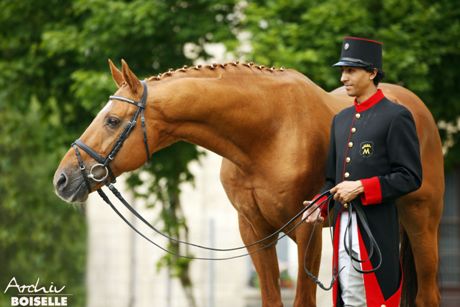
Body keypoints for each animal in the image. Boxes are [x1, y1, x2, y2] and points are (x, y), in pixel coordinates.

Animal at [53, 60, 442, 307]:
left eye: (113, 121)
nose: (63, 179)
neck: (268, 132)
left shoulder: (307, 228)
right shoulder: (255, 230)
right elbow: (271, 298)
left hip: (421, 223)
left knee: (427, 295)